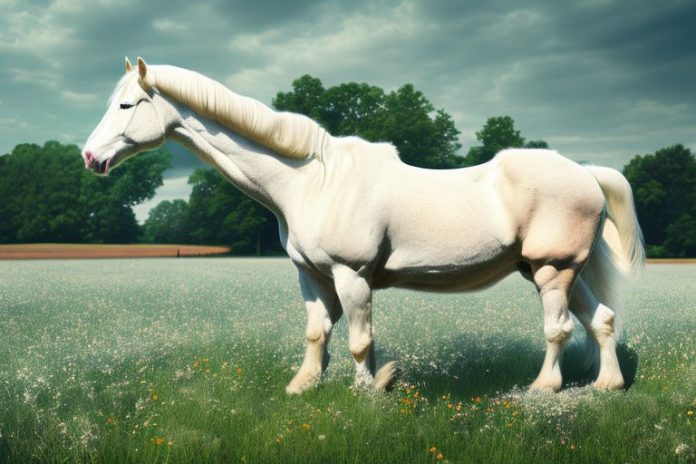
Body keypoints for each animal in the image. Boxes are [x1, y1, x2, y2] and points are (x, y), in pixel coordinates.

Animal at [82, 57, 644, 394]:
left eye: (127, 104)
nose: (90, 157)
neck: (312, 180)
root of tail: (587, 173)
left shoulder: (350, 275)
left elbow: (358, 340)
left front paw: (366, 390)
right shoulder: (312, 276)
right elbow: (316, 332)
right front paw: (303, 385)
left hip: (552, 271)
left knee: (559, 329)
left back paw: (543, 388)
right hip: (556, 272)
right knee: (601, 320)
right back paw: (608, 386)